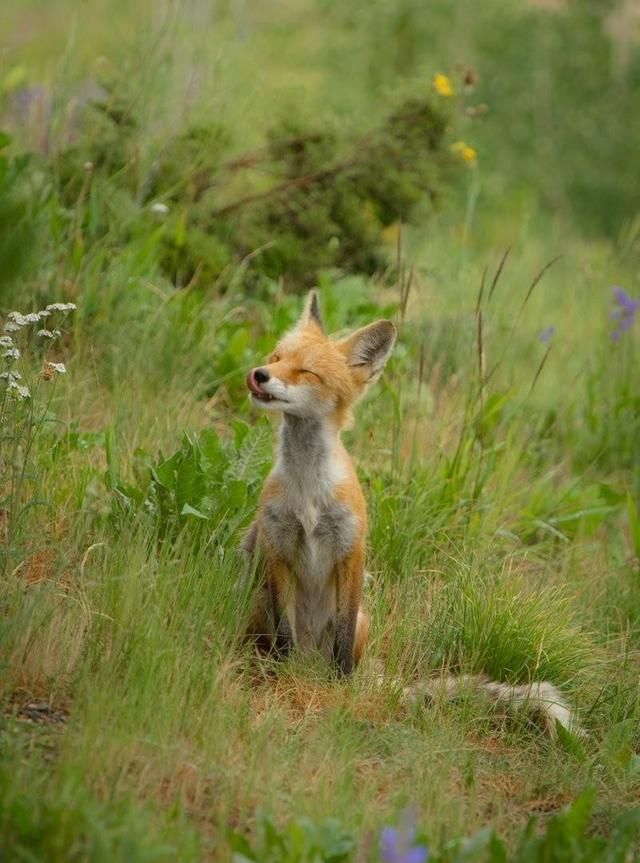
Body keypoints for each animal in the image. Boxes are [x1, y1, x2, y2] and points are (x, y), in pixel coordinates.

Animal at [242, 294, 584, 740]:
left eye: (306, 372)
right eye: (277, 357)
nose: (259, 374)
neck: (308, 493)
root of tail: (310, 663)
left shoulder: (351, 551)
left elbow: (343, 645)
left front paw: (341, 693)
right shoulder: (278, 546)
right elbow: (285, 634)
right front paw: (284, 679)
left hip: (363, 621)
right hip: (258, 602)